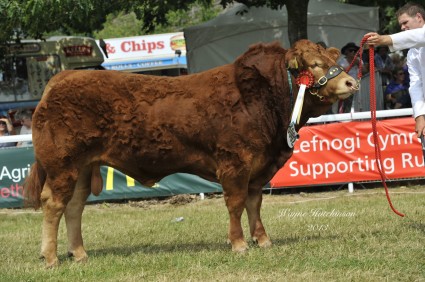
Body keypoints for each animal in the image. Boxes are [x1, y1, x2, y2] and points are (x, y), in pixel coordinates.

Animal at [24, 39, 358, 266]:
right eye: (313, 64)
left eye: (333, 59)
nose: (351, 81)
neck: (264, 98)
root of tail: (62, 79)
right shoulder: (234, 164)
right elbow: (236, 204)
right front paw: (239, 244)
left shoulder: (258, 167)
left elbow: (254, 204)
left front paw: (262, 239)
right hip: (62, 165)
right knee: (53, 204)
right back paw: (50, 257)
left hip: (81, 167)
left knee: (74, 207)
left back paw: (79, 253)